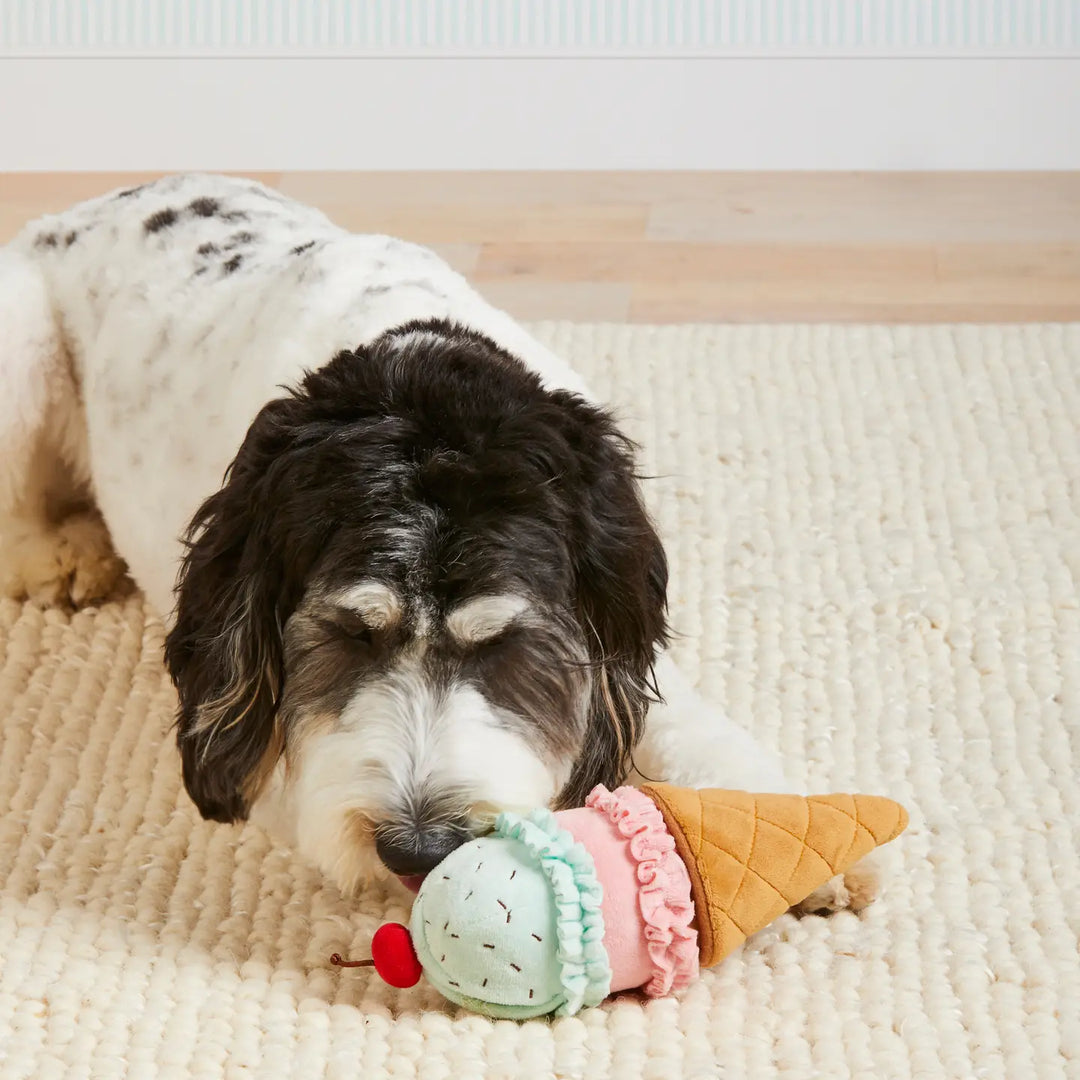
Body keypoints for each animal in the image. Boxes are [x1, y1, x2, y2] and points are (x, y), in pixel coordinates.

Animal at [0, 172, 872, 907]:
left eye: (504, 644)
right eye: (349, 636)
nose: (418, 850)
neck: (416, 374)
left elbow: (682, 718)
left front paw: (794, 829)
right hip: (22, 341)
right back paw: (59, 556)